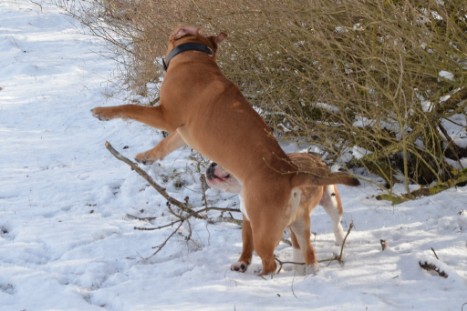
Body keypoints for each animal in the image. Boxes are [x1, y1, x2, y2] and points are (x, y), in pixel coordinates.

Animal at [207, 154, 348, 276]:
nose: (212, 163)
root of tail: (314, 158)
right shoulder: (248, 221)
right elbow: (247, 244)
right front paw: (241, 262)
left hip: (332, 203)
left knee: (334, 224)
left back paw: (339, 243)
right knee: (299, 245)